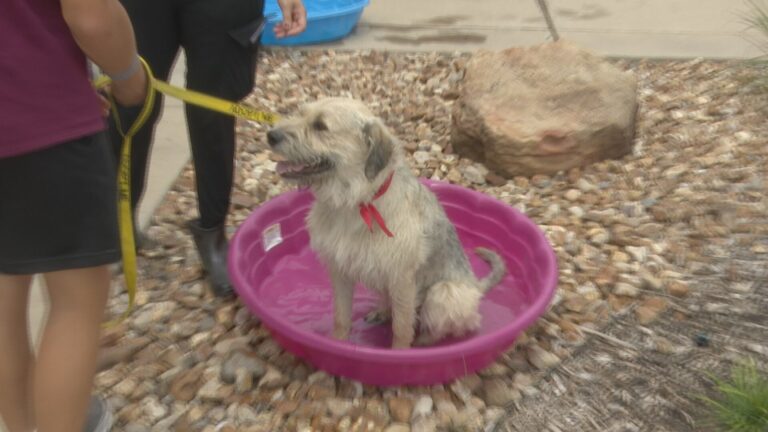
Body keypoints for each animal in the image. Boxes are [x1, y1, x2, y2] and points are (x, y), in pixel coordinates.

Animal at [268, 97, 508, 348]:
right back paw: (381, 312)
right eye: (299, 114)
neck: (358, 201)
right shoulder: (341, 271)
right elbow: (341, 316)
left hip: (445, 292)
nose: (271, 135)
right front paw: (338, 343)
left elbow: (401, 327)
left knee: (437, 324)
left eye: (320, 126)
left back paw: (423, 340)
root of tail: (476, 287)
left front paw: (400, 351)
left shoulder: (403, 279)